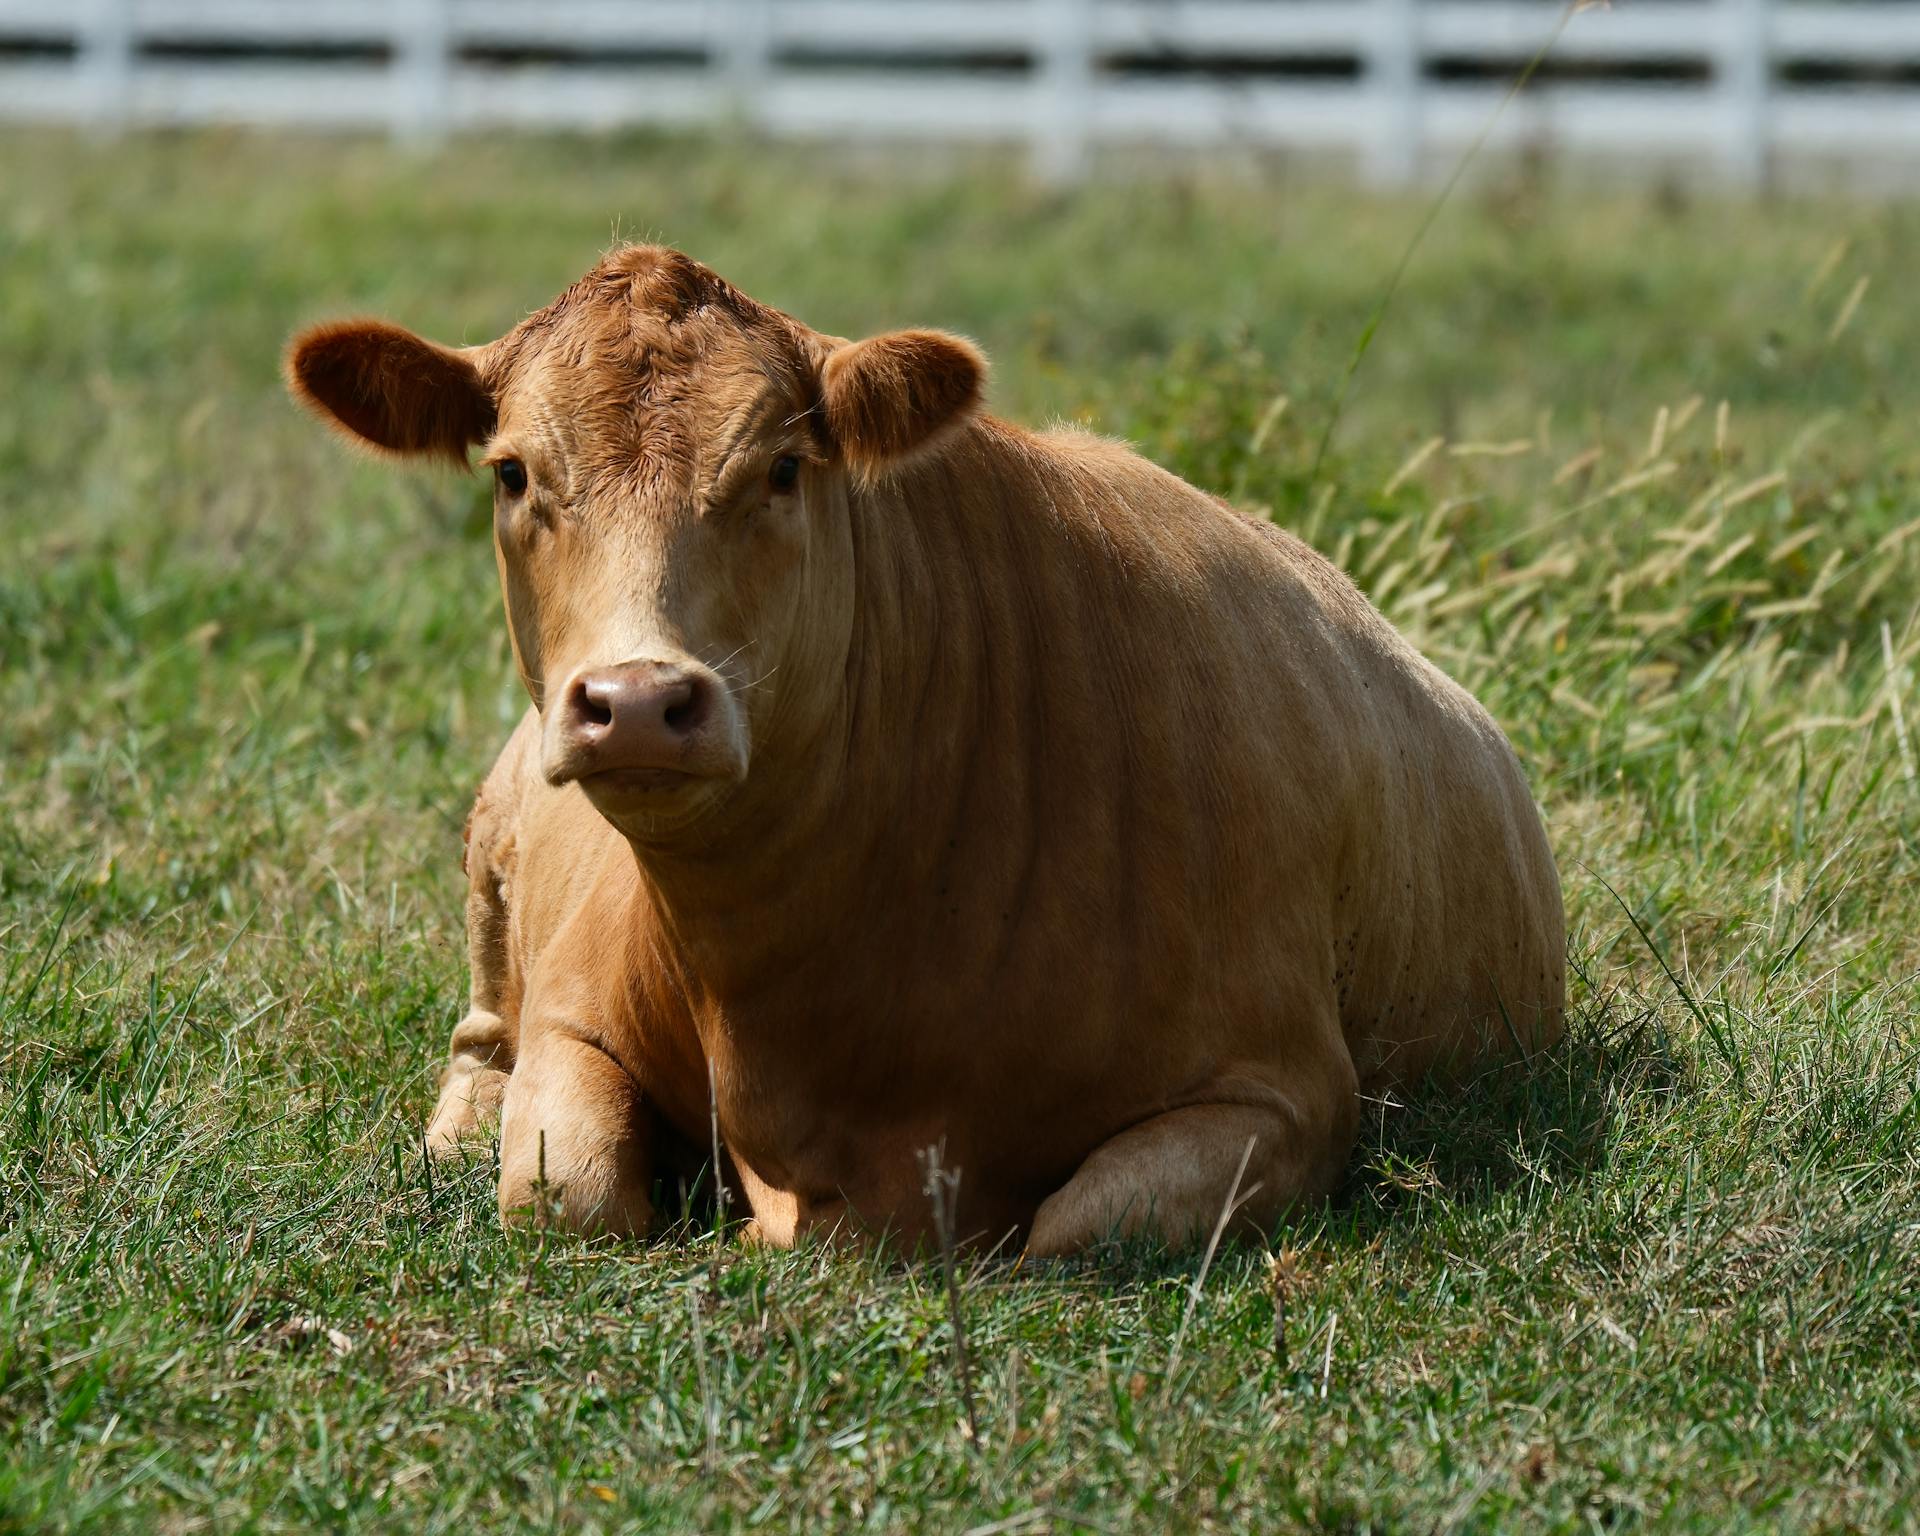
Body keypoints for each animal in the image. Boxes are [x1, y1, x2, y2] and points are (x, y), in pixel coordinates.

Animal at [291, 245, 1566, 1251]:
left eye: (782, 469)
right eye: (513, 472)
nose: (638, 702)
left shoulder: (1284, 1094)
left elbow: (1080, 1226)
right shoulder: (572, 1015)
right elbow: (569, 1191)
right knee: (480, 1031)